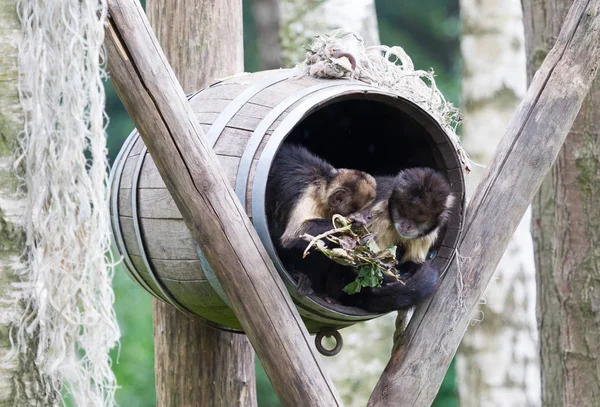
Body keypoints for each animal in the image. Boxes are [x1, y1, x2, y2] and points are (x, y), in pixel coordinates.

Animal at [266, 144, 376, 296]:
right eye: (364, 209)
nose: (370, 215)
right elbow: (294, 236)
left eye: (370, 207)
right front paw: (353, 224)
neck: (323, 186)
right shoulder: (308, 195)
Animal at [340, 167, 452, 314]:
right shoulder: (379, 214)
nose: (406, 225)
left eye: (419, 220)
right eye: (403, 212)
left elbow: (414, 262)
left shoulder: (427, 234)